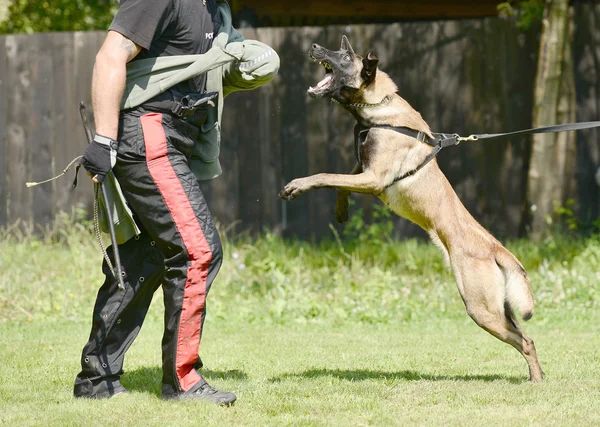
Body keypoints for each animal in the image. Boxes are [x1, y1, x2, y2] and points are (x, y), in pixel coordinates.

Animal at [278, 36, 548, 384]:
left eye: (344, 56)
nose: (313, 46)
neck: (379, 108)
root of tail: (496, 249)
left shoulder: (374, 178)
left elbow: (325, 176)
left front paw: (296, 186)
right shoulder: (364, 171)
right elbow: (340, 182)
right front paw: (341, 210)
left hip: (481, 308)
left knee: (524, 340)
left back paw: (536, 381)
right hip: (498, 308)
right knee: (526, 337)